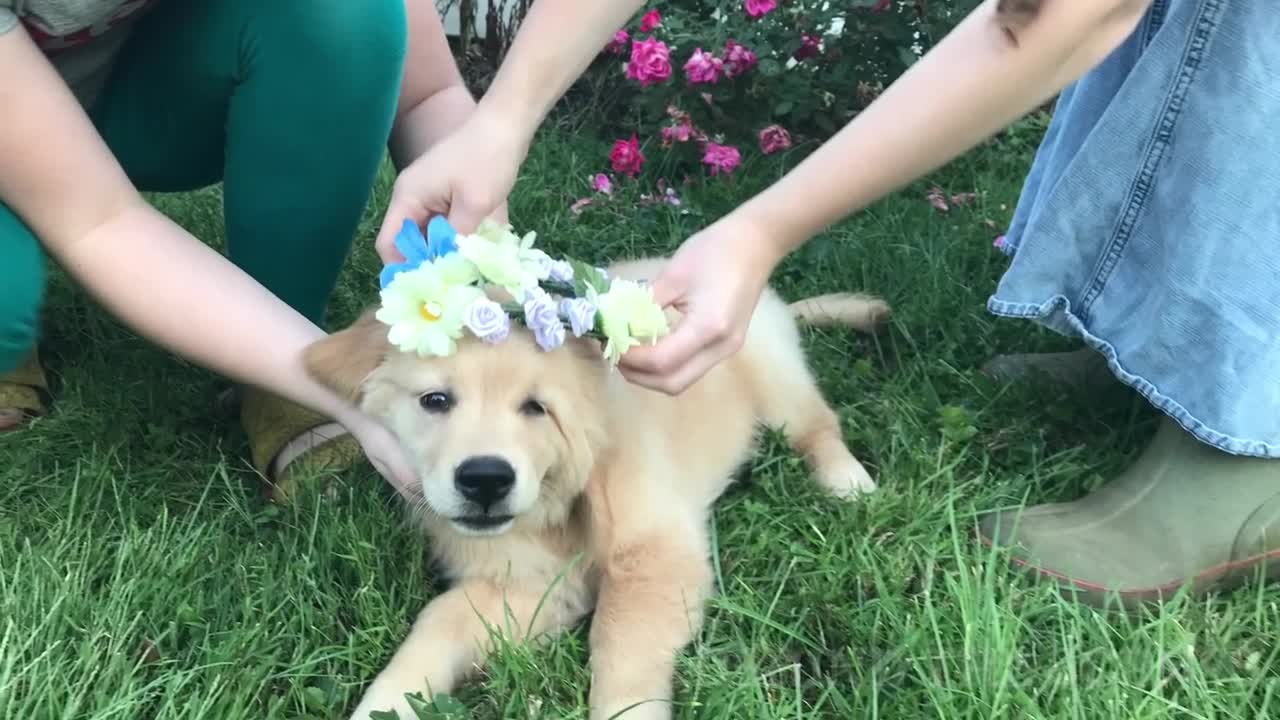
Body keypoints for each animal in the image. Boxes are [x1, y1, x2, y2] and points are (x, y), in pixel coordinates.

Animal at [304, 256, 890, 717]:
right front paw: (384, 703)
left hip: (775, 378)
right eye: (435, 401)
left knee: (818, 425)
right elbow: (438, 621)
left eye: (536, 408)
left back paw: (847, 483)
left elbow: (621, 642)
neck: (559, 502)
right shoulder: (530, 583)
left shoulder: (654, 552)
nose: (485, 479)